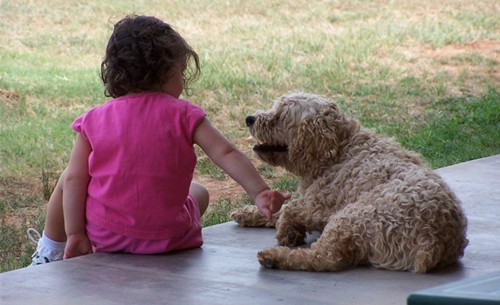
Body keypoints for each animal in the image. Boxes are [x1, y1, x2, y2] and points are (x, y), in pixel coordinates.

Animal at [231, 91, 468, 272]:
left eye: (280, 115)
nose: (249, 118)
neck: (338, 149)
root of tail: (435, 242)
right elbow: (279, 209)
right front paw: (249, 213)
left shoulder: (322, 208)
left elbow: (289, 209)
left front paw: (286, 232)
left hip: (351, 217)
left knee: (323, 258)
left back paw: (274, 257)